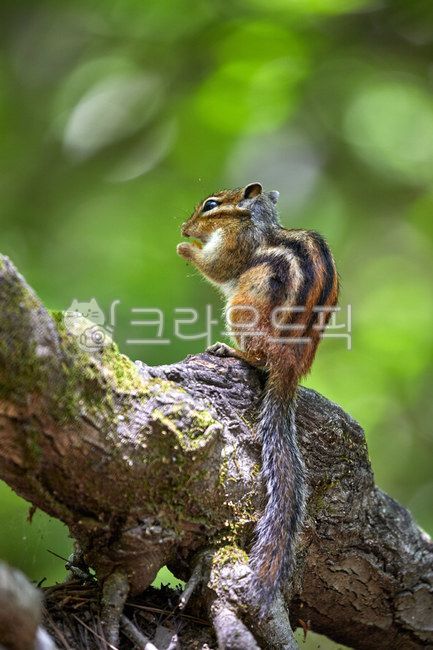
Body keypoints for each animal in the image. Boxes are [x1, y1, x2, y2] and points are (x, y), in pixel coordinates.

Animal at [177, 182, 339, 614]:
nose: (184, 228)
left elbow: (219, 267)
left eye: (211, 205)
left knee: (257, 356)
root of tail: (291, 366)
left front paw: (187, 249)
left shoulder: (237, 244)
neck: (258, 220)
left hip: (243, 305)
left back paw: (233, 352)